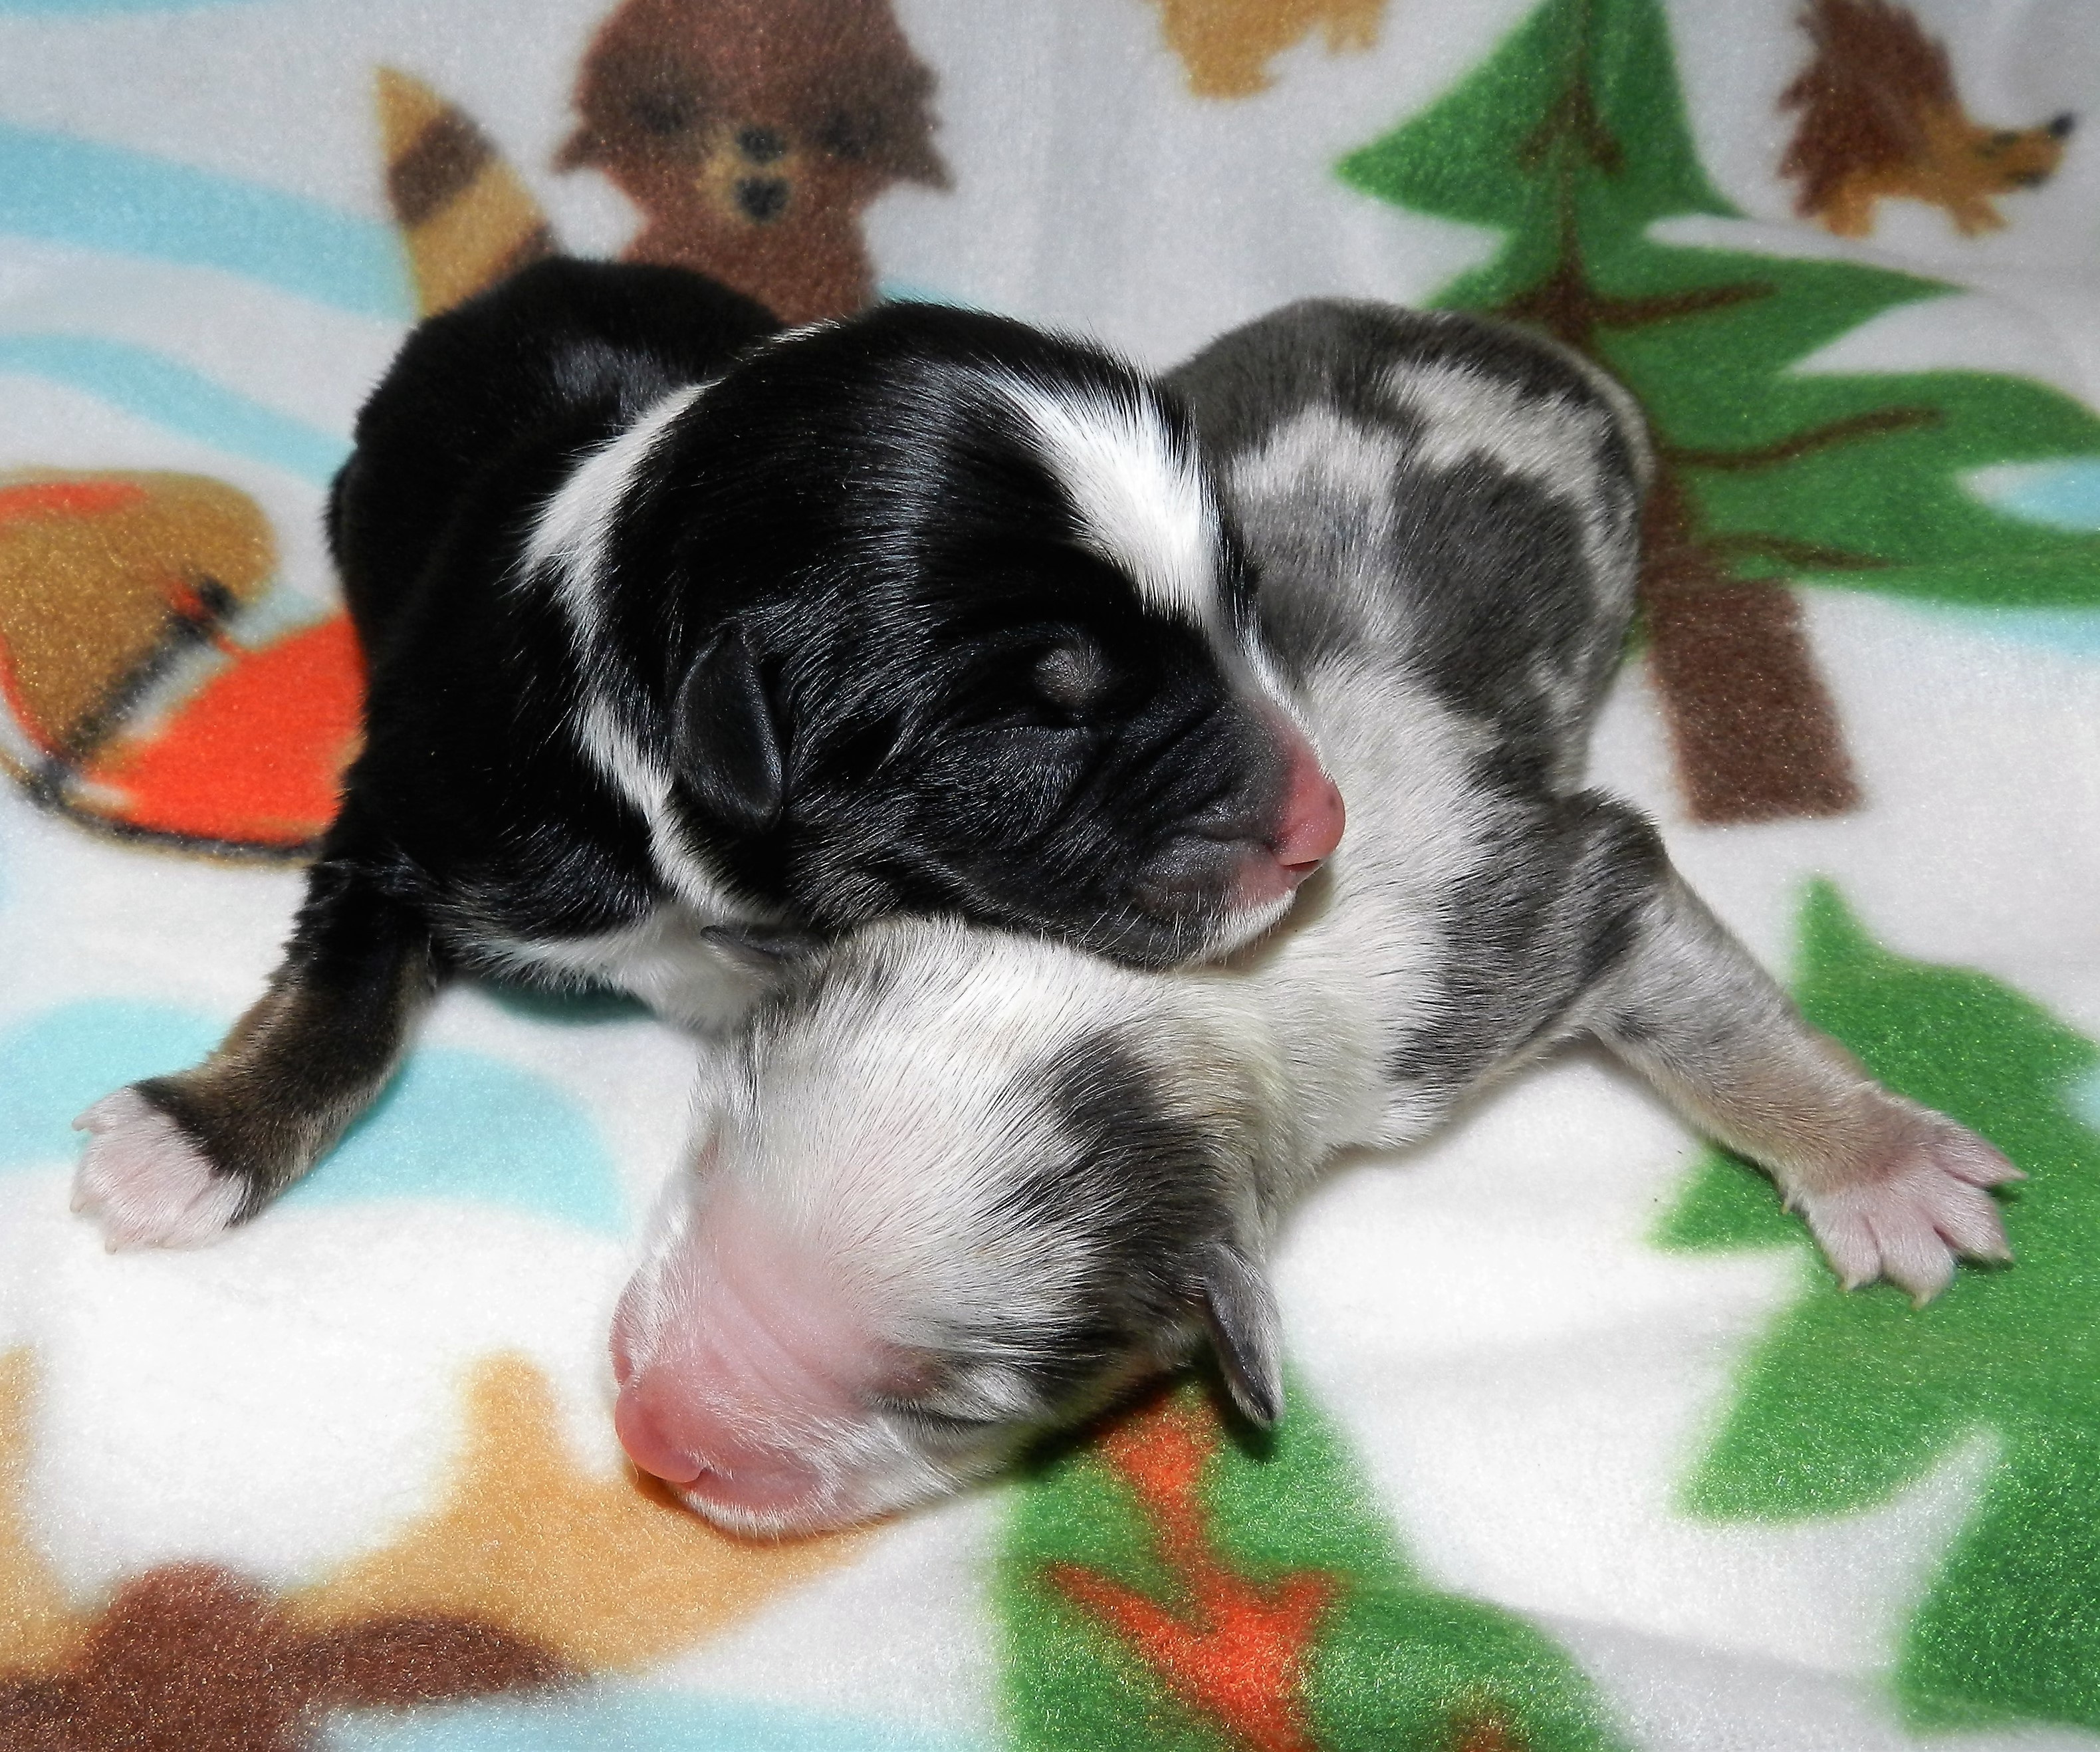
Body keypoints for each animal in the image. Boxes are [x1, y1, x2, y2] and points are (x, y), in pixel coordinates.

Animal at [71, 258, 1343, 1249]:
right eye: (1050, 713)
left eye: (1244, 604)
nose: (1320, 826)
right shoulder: (413, 803)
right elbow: (345, 989)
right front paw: (190, 1141)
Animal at [607, 299, 2021, 1535]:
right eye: (704, 1152)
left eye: (952, 1408)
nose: (650, 1438)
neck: (1156, 991)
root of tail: (1498, 334)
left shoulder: (1514, 921)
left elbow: (1693, 997)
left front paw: (1875, 1164)